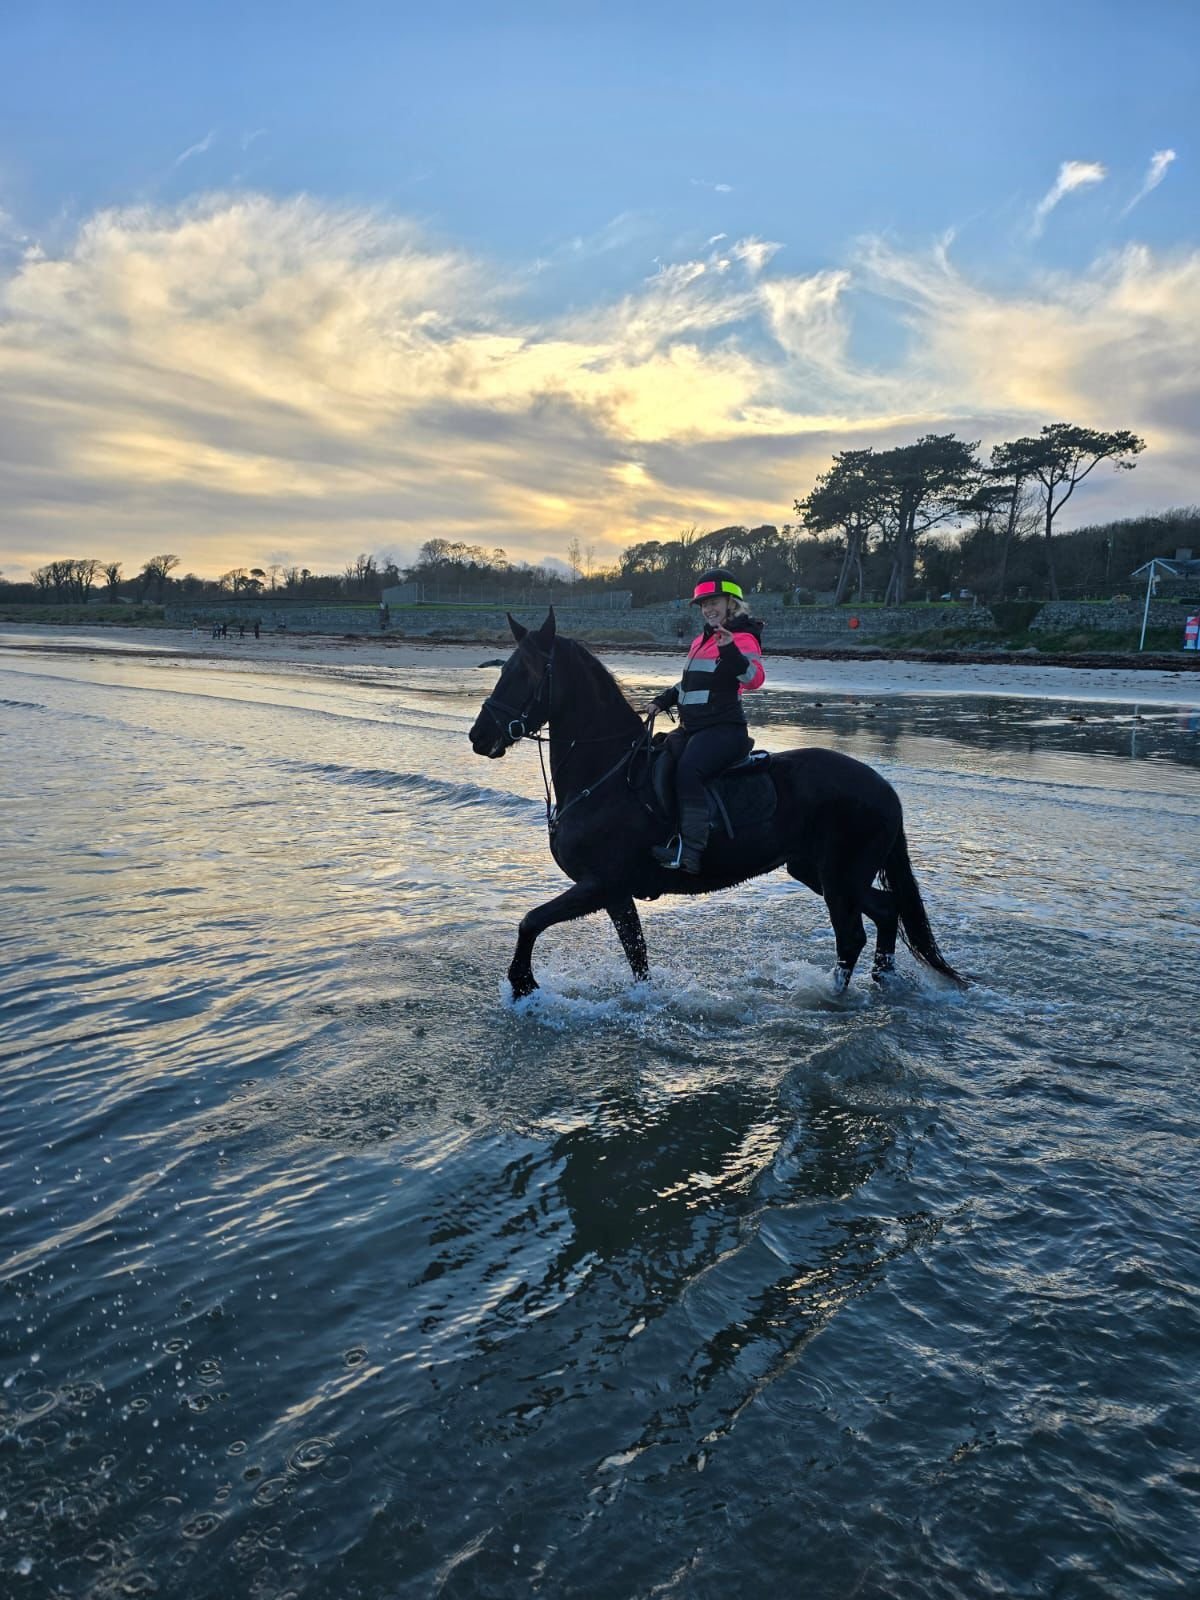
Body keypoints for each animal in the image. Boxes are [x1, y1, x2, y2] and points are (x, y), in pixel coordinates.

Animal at [468, 610, 967, 1001]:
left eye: (525, 674)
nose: (479, 736)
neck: (607, 776)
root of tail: (883, 787)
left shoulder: (600, 884)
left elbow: (531, 921)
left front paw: (523, 985)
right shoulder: (615, 893)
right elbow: (636, 955)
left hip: (837, 875)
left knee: (852, 935)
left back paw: (833, 996)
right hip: (823, 872)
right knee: (886, 911)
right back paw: (883, 981)